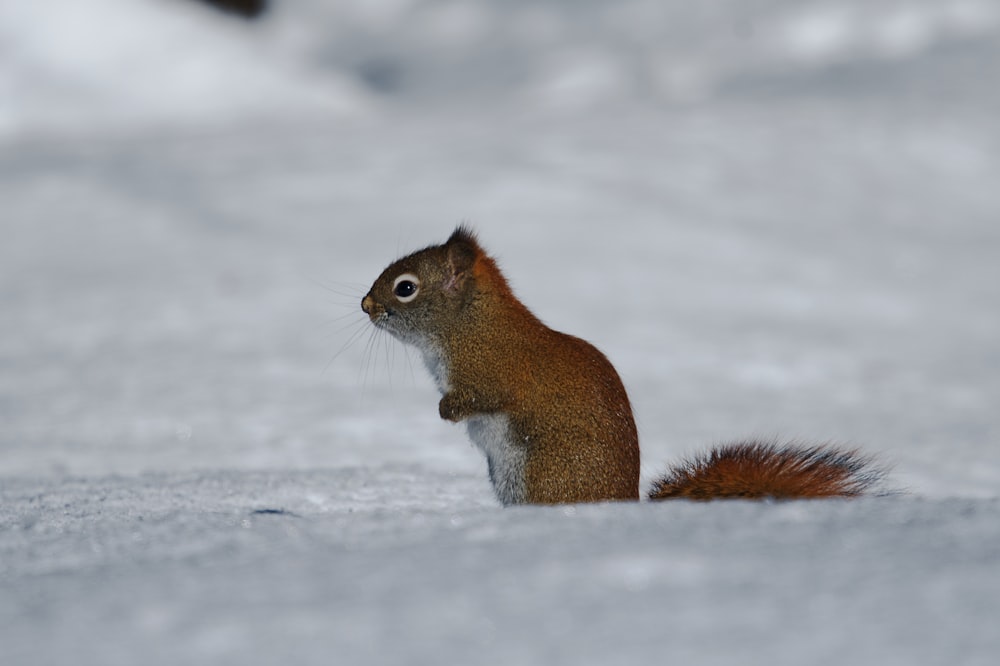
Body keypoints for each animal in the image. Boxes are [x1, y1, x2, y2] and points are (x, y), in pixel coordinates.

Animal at [362, 224, 884, 504]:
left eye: (405, 288)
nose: (366, 305)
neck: (468, 326)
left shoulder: (495, 370)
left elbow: (483, 396)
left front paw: (446, 411)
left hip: (543, 478)